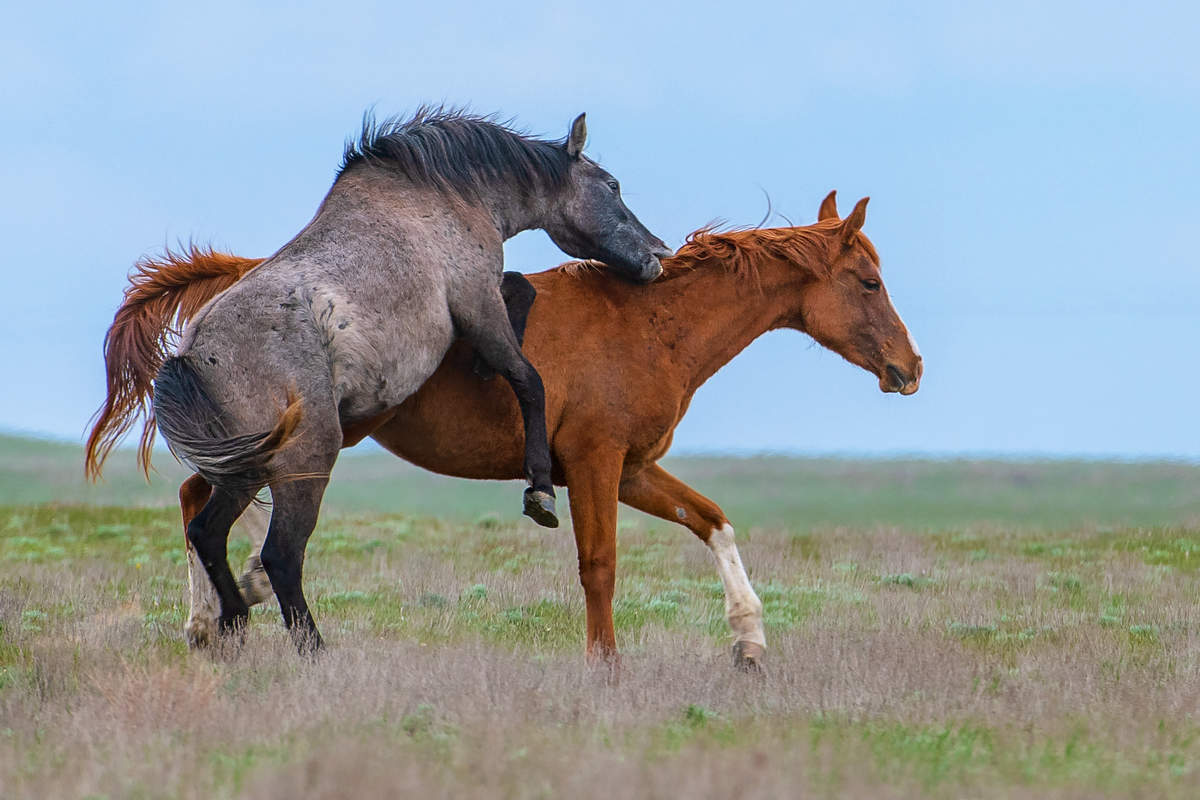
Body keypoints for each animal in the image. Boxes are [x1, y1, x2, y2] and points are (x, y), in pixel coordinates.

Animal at [88, 190, 921, 666]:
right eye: (868, 281)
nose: (909, 368)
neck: (652, 325)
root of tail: (244, 279)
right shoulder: (594, 465)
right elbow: (599, 566)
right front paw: (604, 666)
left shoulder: (630, 470)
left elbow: (713, 521)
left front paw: (748, 640)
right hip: (300, 447)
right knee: (226, 520)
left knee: (200, 506)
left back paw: (210, 622)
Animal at [151, 109, 672, 652]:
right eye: (612, 185)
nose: (658, 253)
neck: (443, 196)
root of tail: (190, 356)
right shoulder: (477, 302)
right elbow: (528, 378)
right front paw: (540, 490)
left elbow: (520, 296)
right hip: (305, 459)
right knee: (281, 554)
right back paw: (313, 650)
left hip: (245, 470)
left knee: (208, 533)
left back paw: (231, 620)